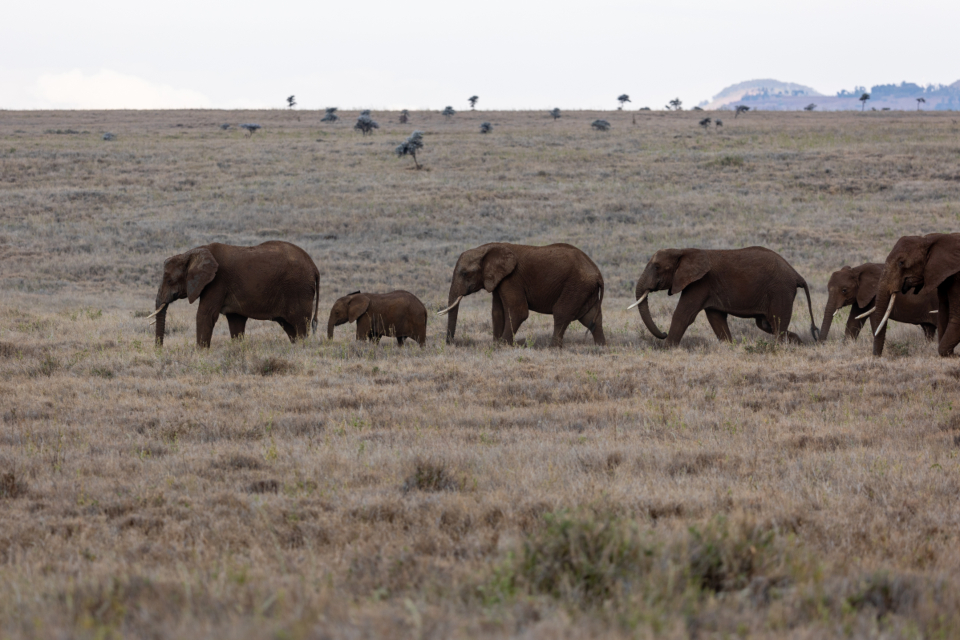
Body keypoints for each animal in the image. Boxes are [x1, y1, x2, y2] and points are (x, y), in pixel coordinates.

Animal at [146, 241, 318, 350]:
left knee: (300, 324)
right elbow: (236, 321)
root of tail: (314, 266)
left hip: (298, 289)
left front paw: (200, 353)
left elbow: (205, 315)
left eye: (169, 280)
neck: (192, 253)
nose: (159, 351)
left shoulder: (217, 281)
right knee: (290, 328)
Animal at [438, 242, 604, 348]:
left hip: (576, 285)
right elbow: (497, 312)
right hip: (584, 289)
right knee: (591, 318)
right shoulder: (499, 280)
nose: (450, 344)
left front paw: (503, 346)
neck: (484, 249)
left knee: (561, 313)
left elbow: (518, 311)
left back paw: (552, 348)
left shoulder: (512, 278)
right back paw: (601, 347)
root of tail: (597, 272)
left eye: (465, 273)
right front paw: (496, 345)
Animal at [632, 245, 816, 344]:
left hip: (780, 290)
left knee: (777, 325)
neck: (683, 250)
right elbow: (716, 319)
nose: (663, 333)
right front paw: (730, 346)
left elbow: (683, 315)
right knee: (767, 325)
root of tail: (796, 274)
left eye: (657, 267)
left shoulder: (700, 283)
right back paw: (798, 343)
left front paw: (668, 349)